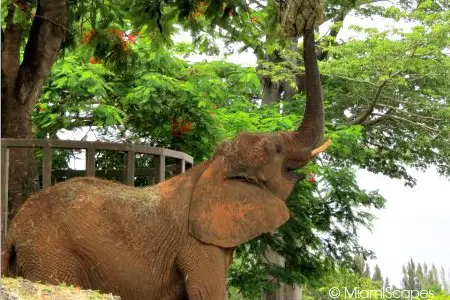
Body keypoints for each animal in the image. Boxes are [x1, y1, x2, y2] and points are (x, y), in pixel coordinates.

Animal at [1, 28, 328, 300]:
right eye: (277, 149)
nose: (305, 24)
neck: (211, 168)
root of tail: (13, 231)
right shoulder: (197, 246)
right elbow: (208, 293)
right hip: (50, 252)